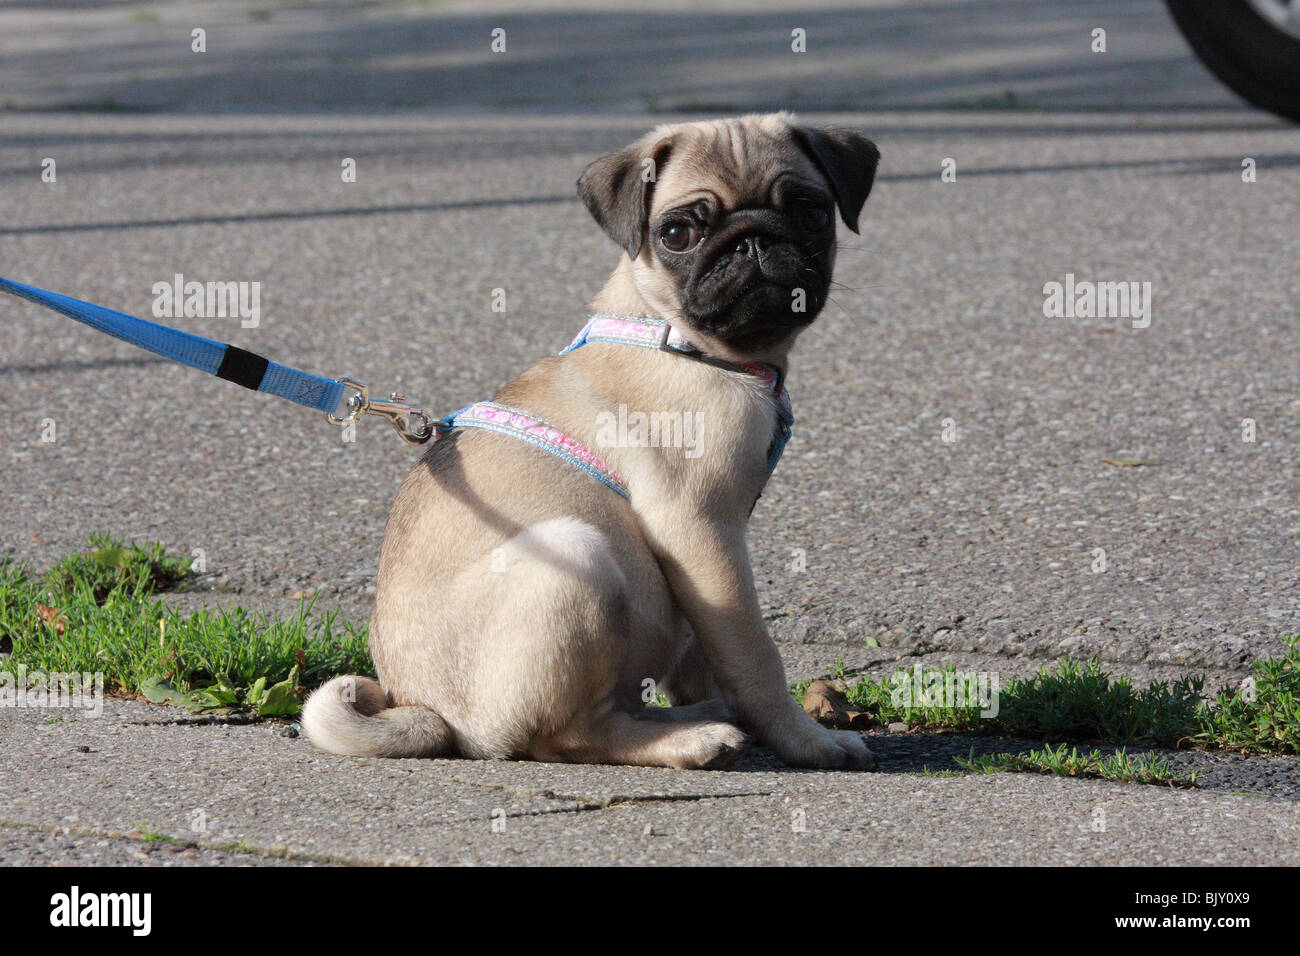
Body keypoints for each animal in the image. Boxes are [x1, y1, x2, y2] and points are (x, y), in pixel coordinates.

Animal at [299, 113, 878, 770]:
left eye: (811, 212)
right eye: (677, 232)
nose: (751, 240)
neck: (676, 337)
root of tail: (429, 713)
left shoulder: (696, 563)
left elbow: (705, 654)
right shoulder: (700, 528)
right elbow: (753, 654)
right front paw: (807, 741)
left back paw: (694, 716)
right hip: (576, 554)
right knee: (568, 736)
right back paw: (690, 739)